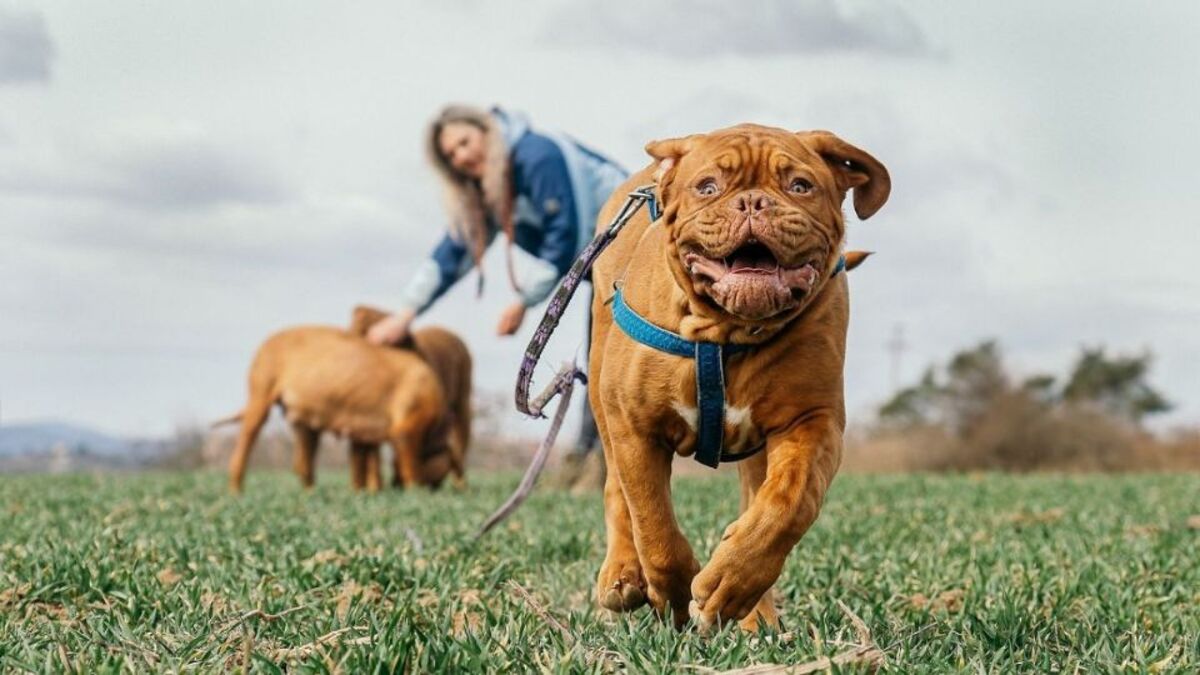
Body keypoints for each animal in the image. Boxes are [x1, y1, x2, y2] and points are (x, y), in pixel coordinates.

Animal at [585, 124, 888, 629]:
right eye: (707, 187)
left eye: (800, 186)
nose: (752, 202)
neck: (725, 332)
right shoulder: (636, 428)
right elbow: (653, 524)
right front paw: (673, 595)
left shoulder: (812, 420)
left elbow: (788, 503)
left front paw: (730, 583)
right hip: (600, 392)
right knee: (616, 492)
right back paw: (622, 575)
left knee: (755, 499)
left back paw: (754, 613)